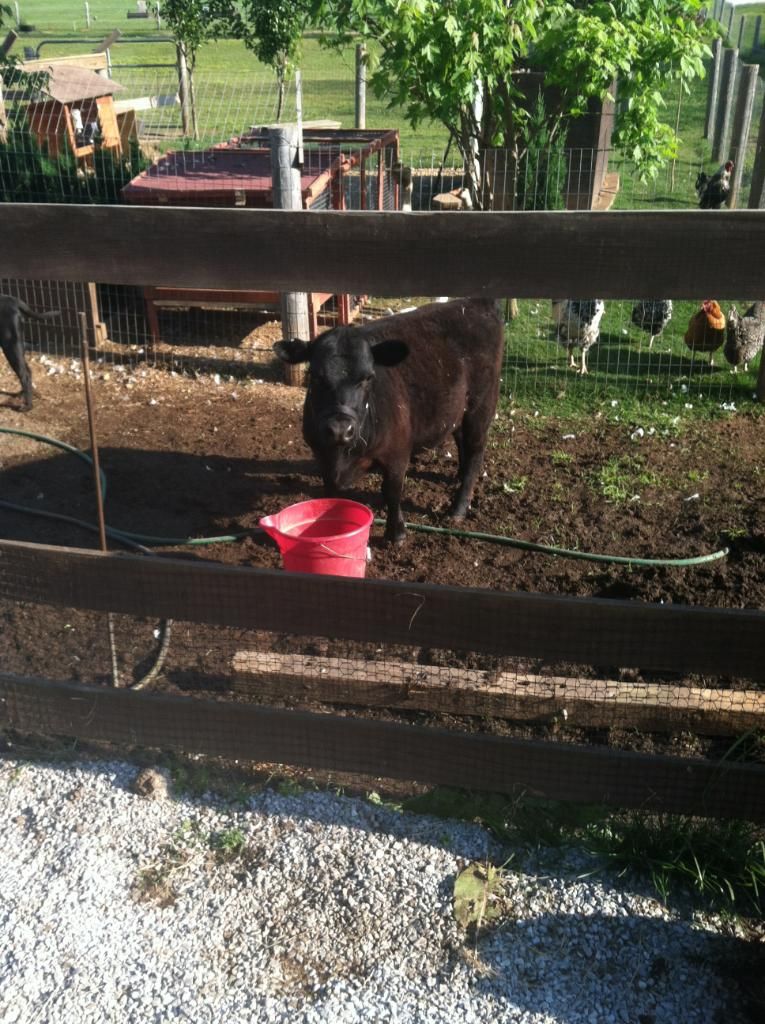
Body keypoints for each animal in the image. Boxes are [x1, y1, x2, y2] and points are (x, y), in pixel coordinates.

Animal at [273, 297, 504, 544]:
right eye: (315, 376)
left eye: (368, 377)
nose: (340, 429)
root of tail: (476, 302)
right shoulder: (322, 457)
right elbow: (331, 494)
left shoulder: (397, 453)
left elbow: (391, 491)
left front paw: (396, 533)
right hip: (458, 411)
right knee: (462, 441)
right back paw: (457, 476)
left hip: (480, 408)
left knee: (475, 453)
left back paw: (458, 507)